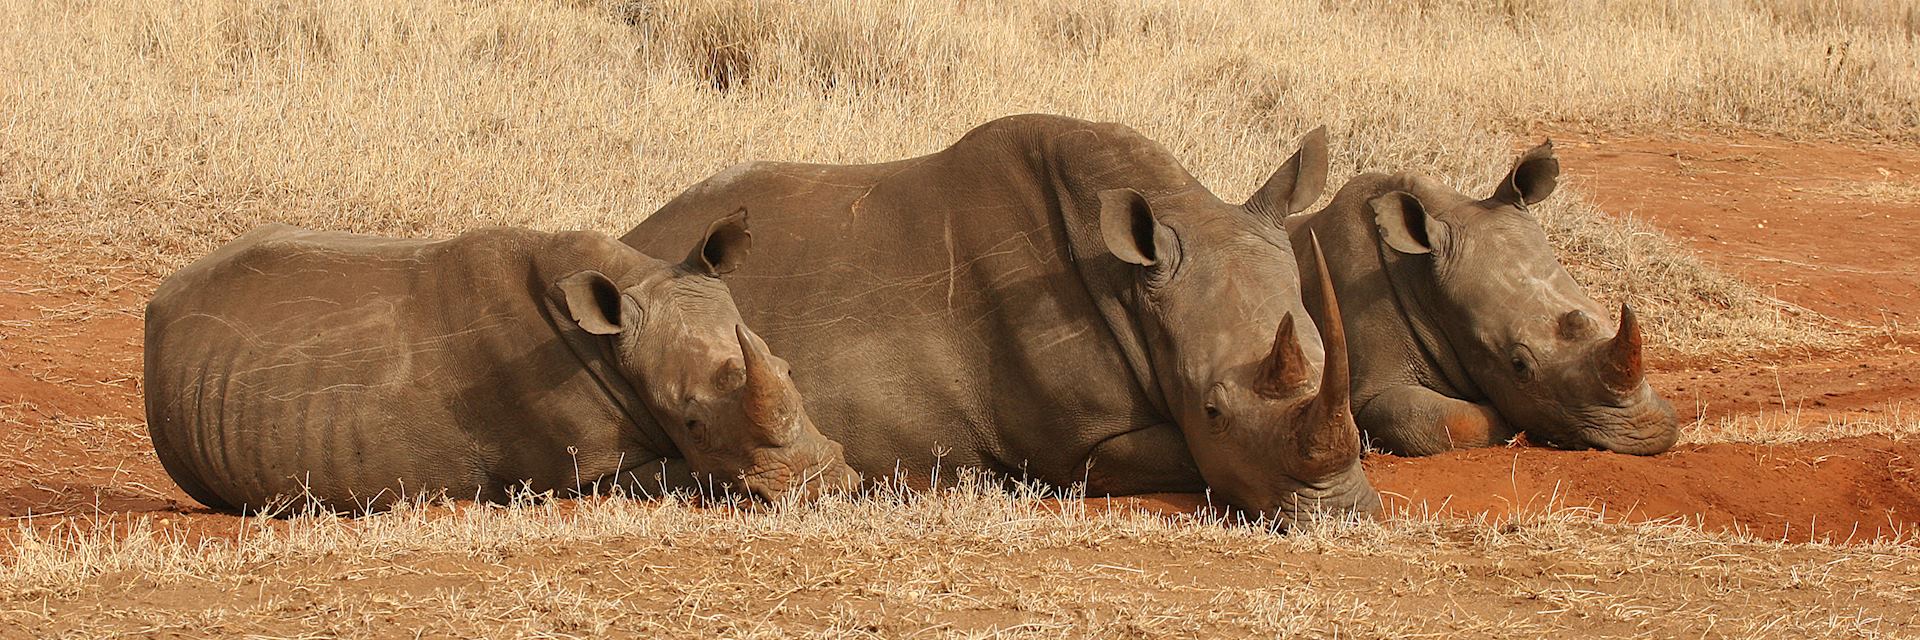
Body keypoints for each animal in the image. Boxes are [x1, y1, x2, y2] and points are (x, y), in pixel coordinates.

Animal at [1290, 142, 1681, 455]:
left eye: (1603, 312)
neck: (1422, 277)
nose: (1646, 434)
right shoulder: (1369, 390)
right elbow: (1441, 418)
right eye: (1518, 365)